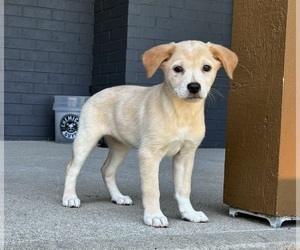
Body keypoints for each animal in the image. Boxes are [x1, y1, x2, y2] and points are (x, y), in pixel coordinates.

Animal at [62, 40, 238, 229]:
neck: (181, 113)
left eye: (206, 67)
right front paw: (154, 215)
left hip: (120, 147)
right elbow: (152, 188)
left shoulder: (186, 154)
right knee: (72, 168)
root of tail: (97, 93)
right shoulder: (149, 154)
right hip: (86, 139)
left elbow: (184, 188)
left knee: (107, 170)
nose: (194, 87)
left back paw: (118, 197)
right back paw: (69, 197)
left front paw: (189, 213)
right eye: (177, 69)